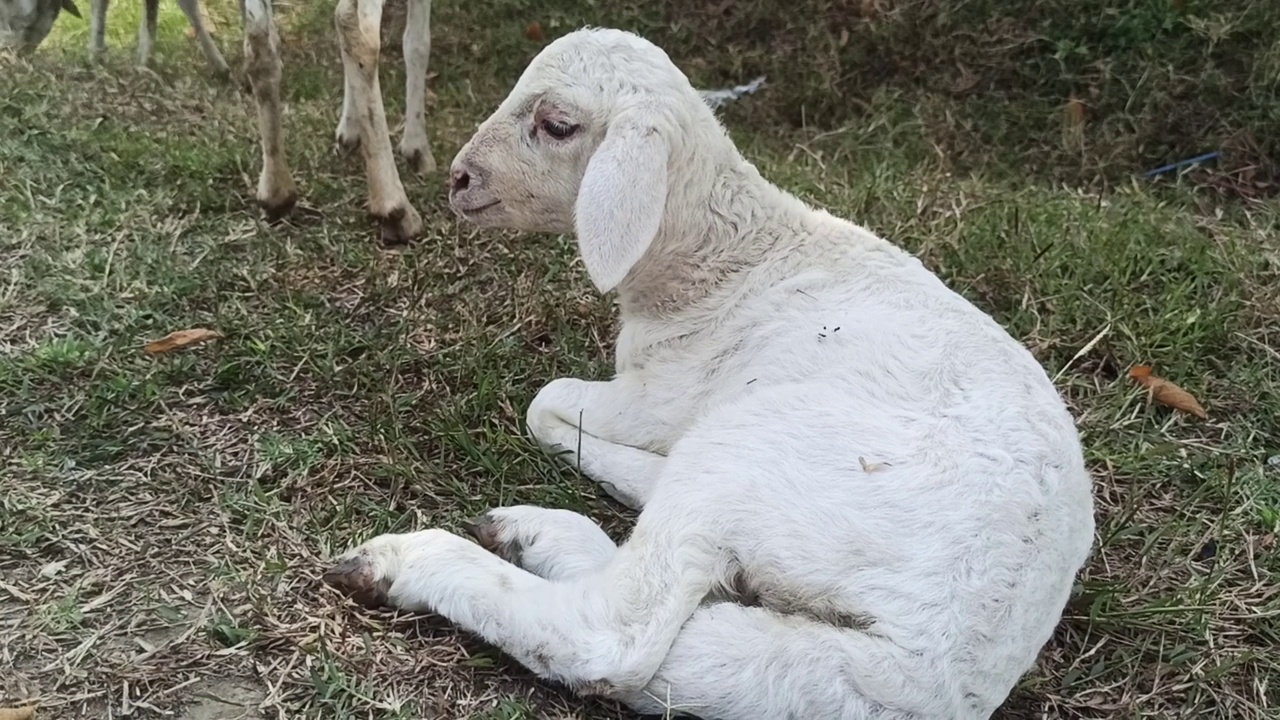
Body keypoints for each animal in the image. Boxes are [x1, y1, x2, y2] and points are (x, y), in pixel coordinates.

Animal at [325, 25, 1095, 712]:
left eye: (557, 124)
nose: (458, 179)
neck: (724, 255)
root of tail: (928, 671)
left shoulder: (660, 394)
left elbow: (544, 402)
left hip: (756, 446)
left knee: (614, 634)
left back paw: (415, 559)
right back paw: (543, 532)